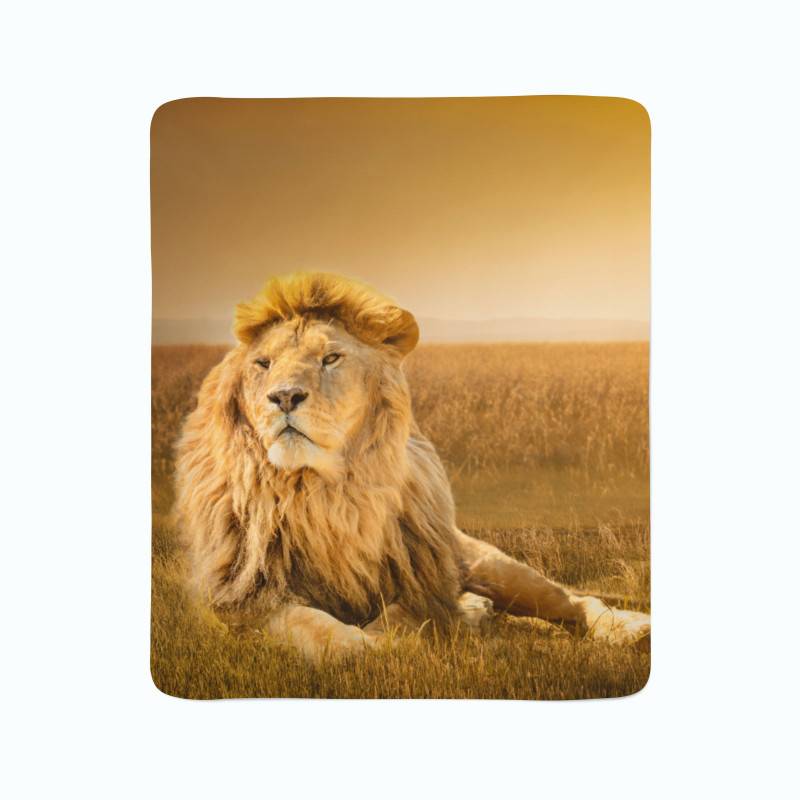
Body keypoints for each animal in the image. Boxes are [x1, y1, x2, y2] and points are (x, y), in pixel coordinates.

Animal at [175, 272, 650, 661]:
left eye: (331, 358)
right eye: (263, 364)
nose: (285, 396)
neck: (324, 492)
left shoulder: (421, 576)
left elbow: (408, 611)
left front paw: (430, 626)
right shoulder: (240, 598)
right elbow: (319, 631)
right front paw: (375, 644)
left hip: (490, 564)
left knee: (572, 601)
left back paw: (627, 628)